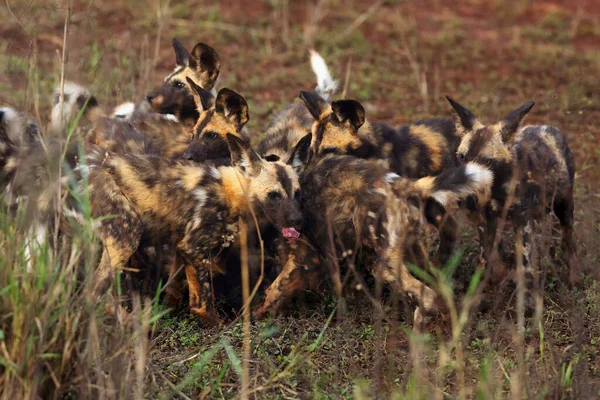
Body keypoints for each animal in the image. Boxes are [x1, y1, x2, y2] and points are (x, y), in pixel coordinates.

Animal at [448, 96, 580, 310]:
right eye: (462, 157)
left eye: (488, 162)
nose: (466, 196)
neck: (497, 188)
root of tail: (550, 127)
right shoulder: (485, 220)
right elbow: (486, 259)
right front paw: (480, 293)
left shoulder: (522, 221)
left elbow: (525, 266)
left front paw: (527, 300)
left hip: (564, 207)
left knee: (569, 242)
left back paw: (573, 279)